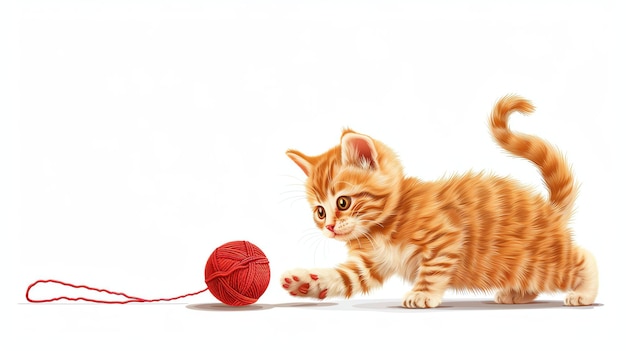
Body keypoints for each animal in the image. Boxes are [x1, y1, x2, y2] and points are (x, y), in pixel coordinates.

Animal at [280, 95, 596, 308]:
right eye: (320, 212)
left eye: (343, 203)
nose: (330, 228)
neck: (380, 227)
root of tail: (550, 209)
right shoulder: (369, 265)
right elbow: (343, 277)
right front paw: (306, 281)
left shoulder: (444, 237)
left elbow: (432, 270)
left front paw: (422, 294)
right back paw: (517, 293)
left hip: (541, 262)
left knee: (583, 259)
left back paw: (584, 292)